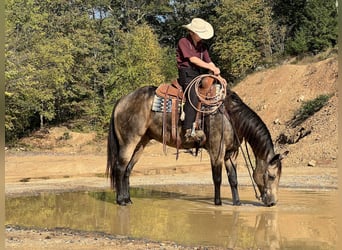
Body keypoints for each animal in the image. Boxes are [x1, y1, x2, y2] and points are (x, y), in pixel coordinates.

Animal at [106, 78, 286, 207]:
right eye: (271, 176)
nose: (272, 203)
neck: (231, 116)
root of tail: (122, 100)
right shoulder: (216, 151)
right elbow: (217, 178)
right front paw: (218, 202)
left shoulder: (230, 154)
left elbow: (233, 179)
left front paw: (237, 202)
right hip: (129, 142)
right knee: (120, 168)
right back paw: (121, 200)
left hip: (141, 143)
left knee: (128, 170)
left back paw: (128, 199)